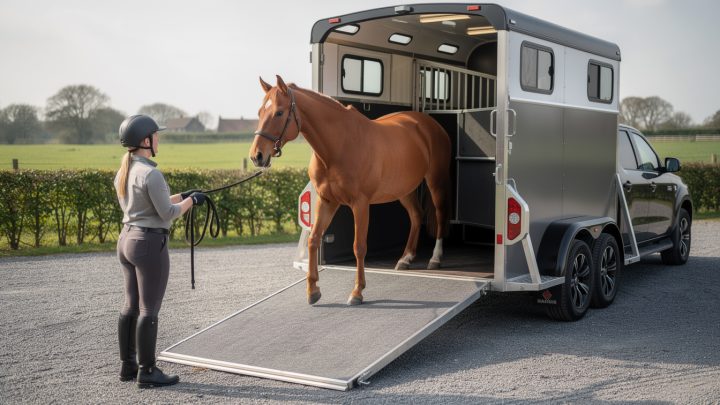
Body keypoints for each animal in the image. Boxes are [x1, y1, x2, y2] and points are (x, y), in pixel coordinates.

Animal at [249, 75, 451, 306]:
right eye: (260, 112)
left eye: (279, 113)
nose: (257, 156)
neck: (338, 146)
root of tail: (428, 124)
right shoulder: (326, 201)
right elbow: (314, 239)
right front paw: (312, 290)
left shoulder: (360, 204)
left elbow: (359, 246)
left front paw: (357, 292)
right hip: (404, 189)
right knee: (417, 216)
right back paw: (405, 258)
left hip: (436, 181)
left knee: (440, 214)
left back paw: (435, 258)